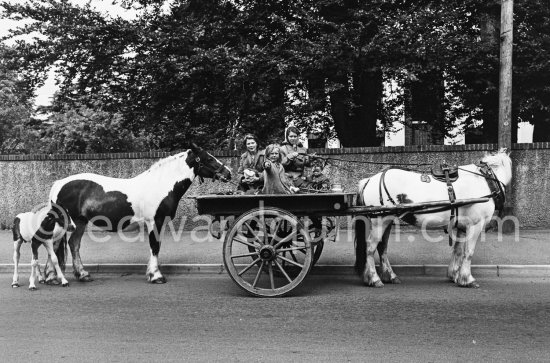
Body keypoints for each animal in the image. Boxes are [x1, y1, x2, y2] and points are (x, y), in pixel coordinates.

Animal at [44, 144, 231, 284]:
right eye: (209, 158)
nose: (228, 173)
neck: (160, 184)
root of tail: (59, 183)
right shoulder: (154, 221)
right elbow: (155, 246)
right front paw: (156, 276)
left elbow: (155, 247)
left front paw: (152, 273)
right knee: (54, 245)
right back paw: (52, 277)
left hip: (80, 222)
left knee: (73, 244)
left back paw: (82, 275)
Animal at [356, 149, 516, 288]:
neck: (485, 180)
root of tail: (369, 180)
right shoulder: (475, 225)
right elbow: (468, 253)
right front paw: (467, 279)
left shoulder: (462, 226)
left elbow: (458, 251)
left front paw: (455, 275)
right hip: (380, 221)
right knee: (371, 247)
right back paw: (374, 278)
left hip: (387, 220)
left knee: (382, 247)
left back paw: (390, 276)